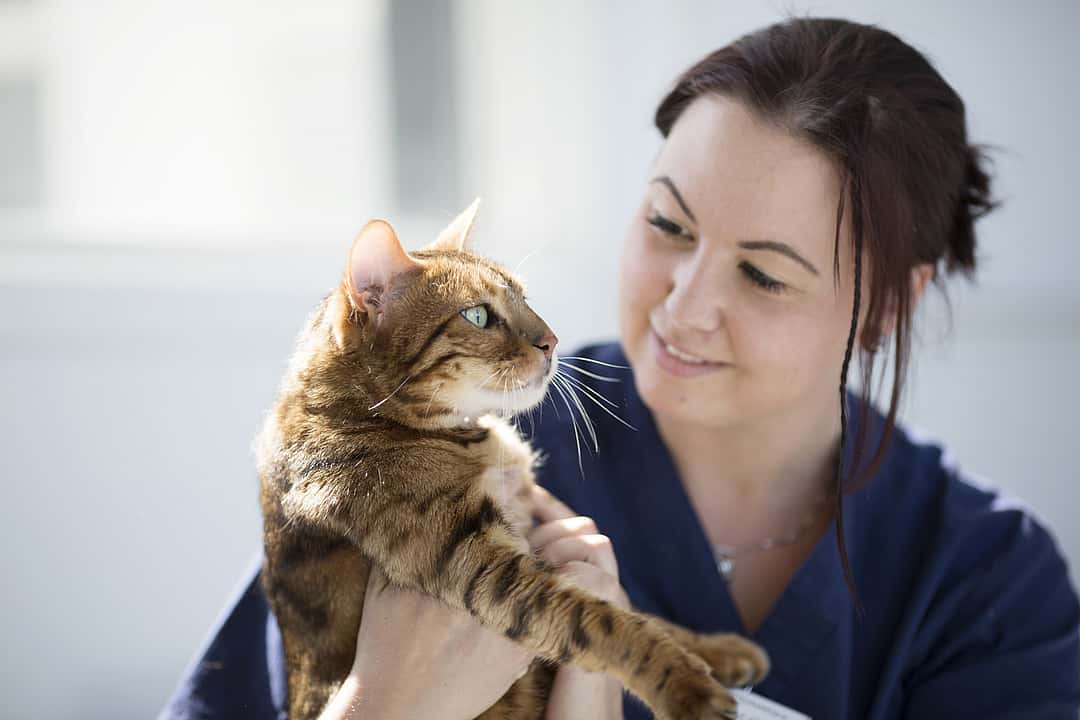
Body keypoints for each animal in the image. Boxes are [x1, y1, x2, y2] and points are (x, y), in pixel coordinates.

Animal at [253, 198, 768, 720]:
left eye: (525, 298)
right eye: (478, 316)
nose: (552, 341)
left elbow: (635, 607)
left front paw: (718, 648)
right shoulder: (481, 564)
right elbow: (602, 622)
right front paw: (684, 685)